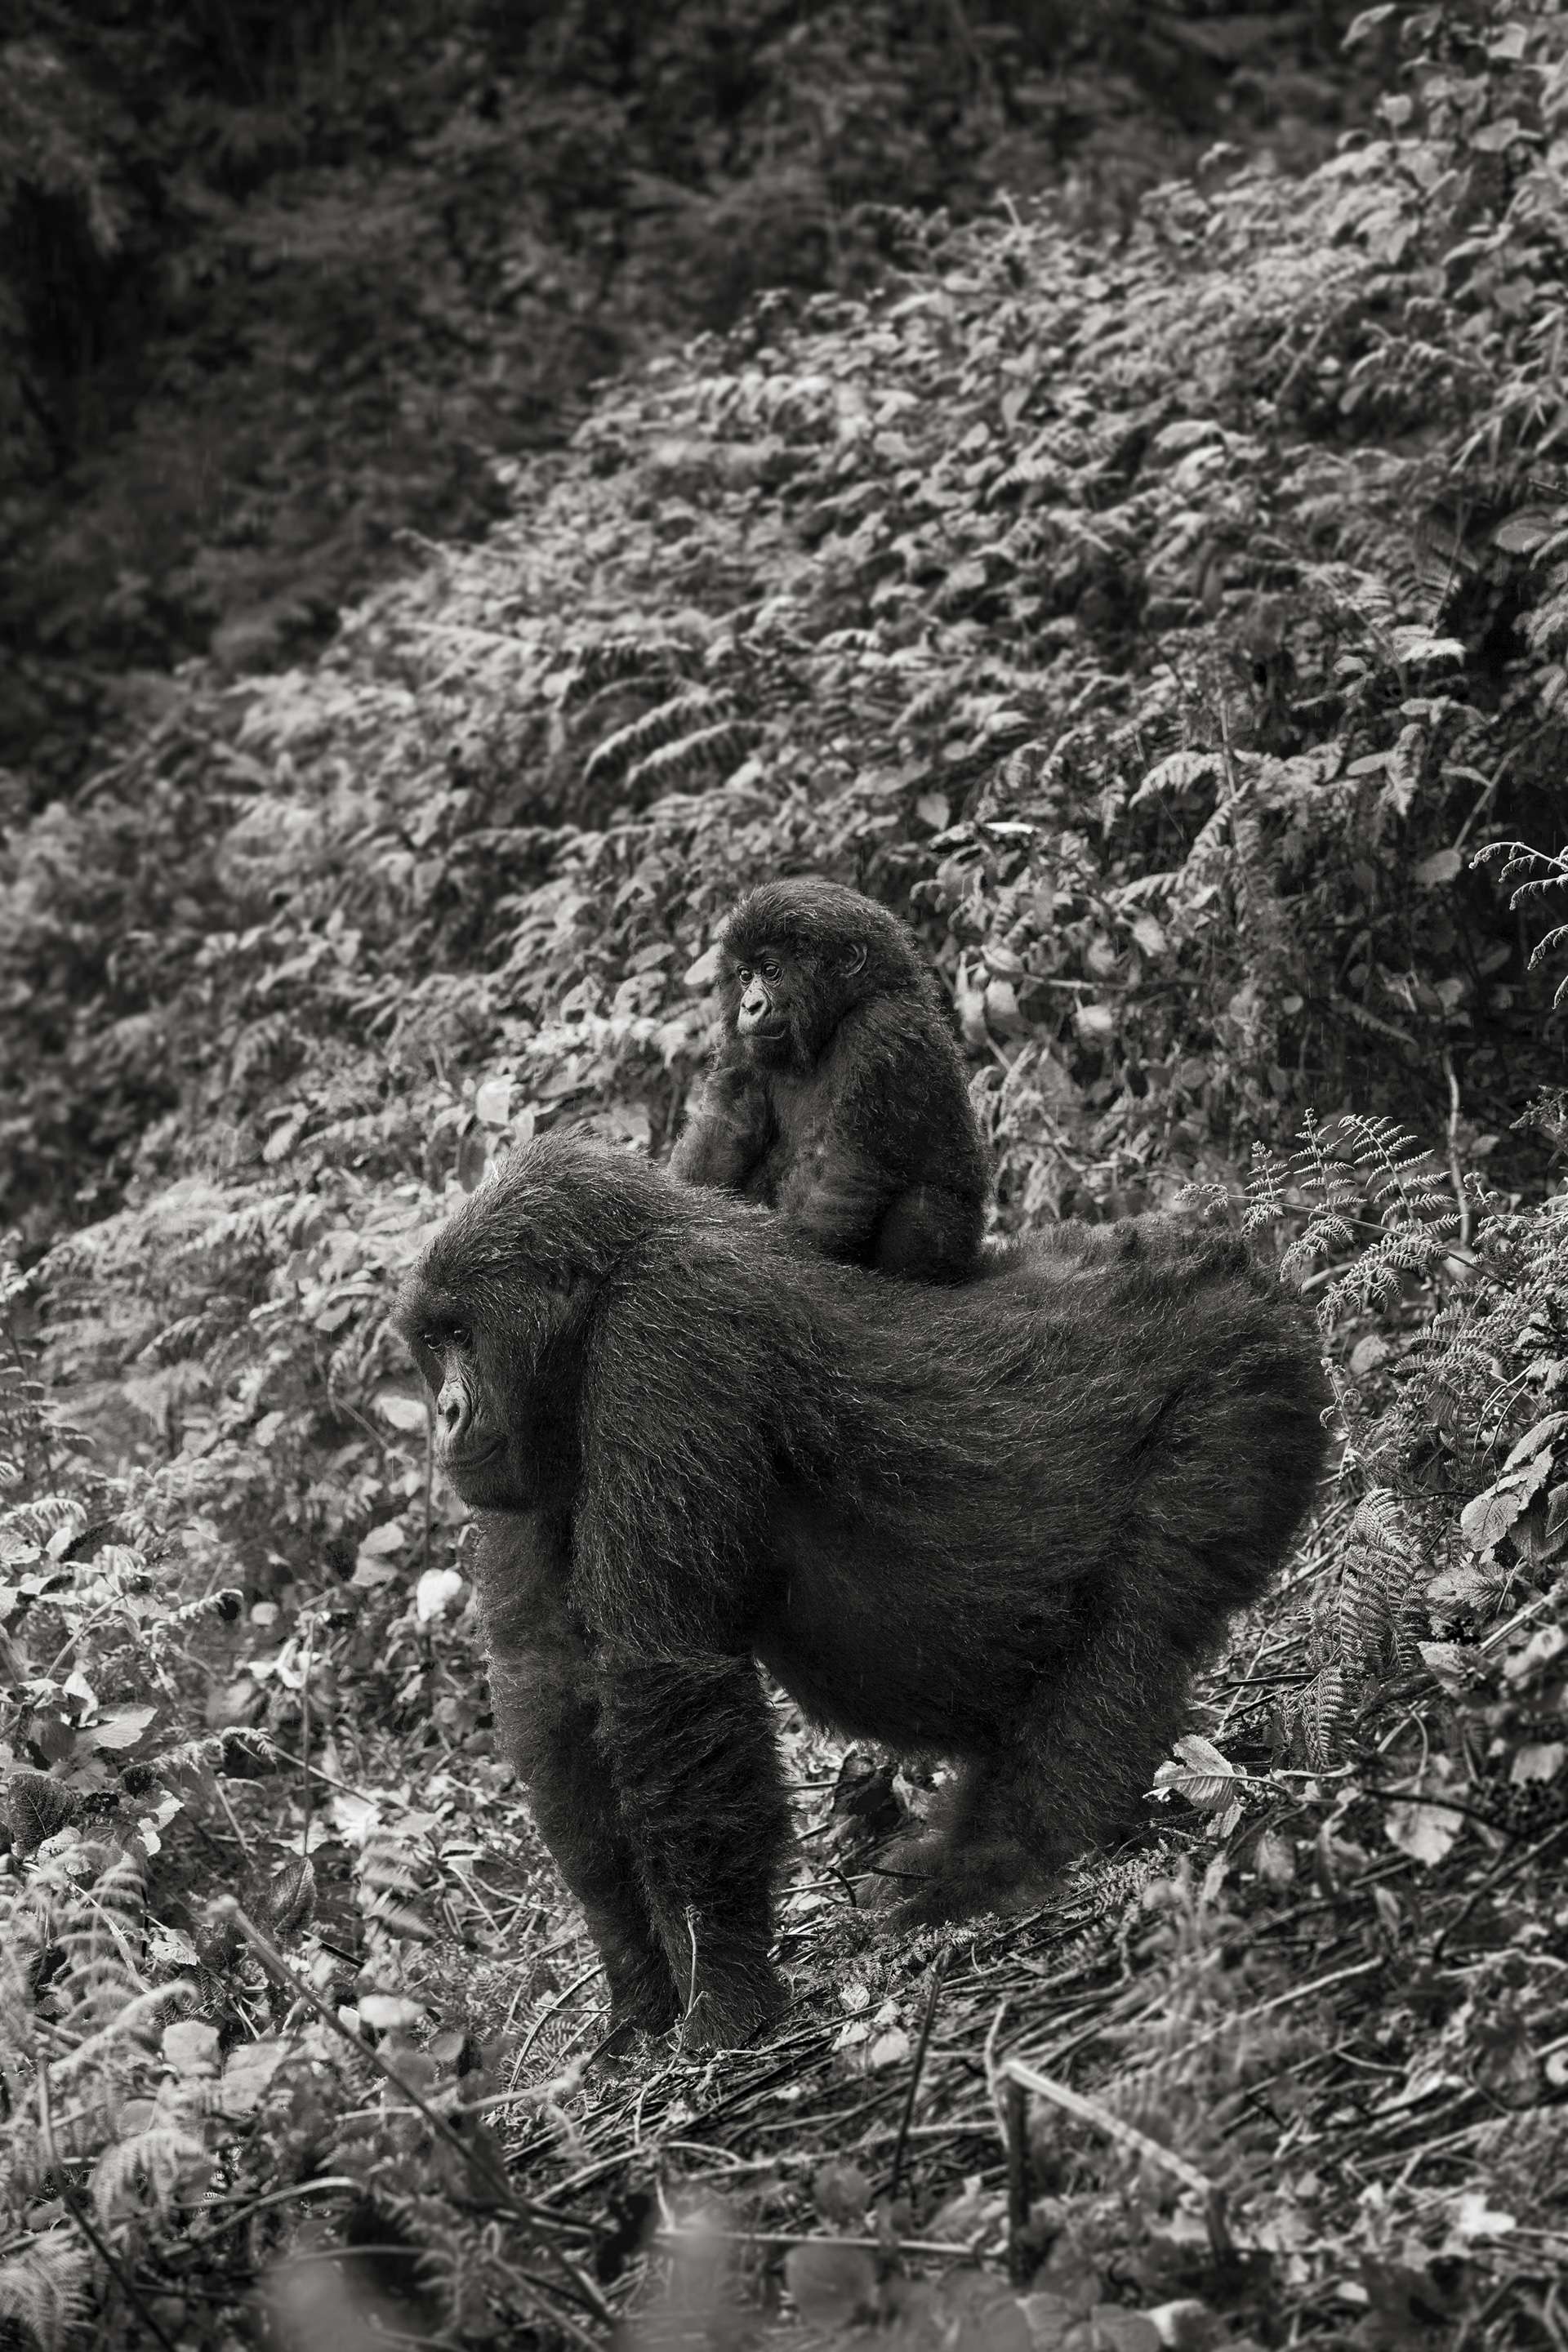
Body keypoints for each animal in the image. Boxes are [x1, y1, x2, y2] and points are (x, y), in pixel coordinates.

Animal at [394, 1143, 1325, 2060]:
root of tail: (1243, 1268)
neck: (605, 1292)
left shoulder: (670, 1335)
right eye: (434, 1342)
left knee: (1131, 1635)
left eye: (464, 1334)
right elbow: (549, 1684)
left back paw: (1005, 1865)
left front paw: (723, 1985)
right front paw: (639, 1985)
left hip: (1242, 1387)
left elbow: (662, 1670)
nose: (445, 1410)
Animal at [667, 884, 987, 1289]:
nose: (750, 1006)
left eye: (771, 971)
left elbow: (834, 1173)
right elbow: (725, 1126)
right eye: (743, 975)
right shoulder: (739, 1037)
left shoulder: (880, 1031)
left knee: (924, 1206)